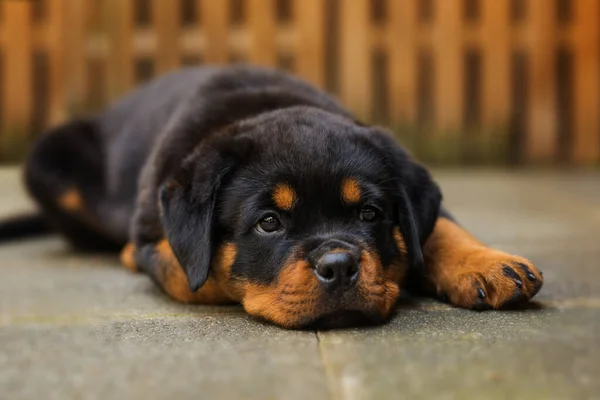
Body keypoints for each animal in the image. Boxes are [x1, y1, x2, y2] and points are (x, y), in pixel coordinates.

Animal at [0, 65, 544, 328]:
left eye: (370, 214)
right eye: (268, 223)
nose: (339, 265)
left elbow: (440, 228)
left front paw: (490, 264)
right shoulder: (158, 233)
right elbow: (197, 276)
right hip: (48, 160)